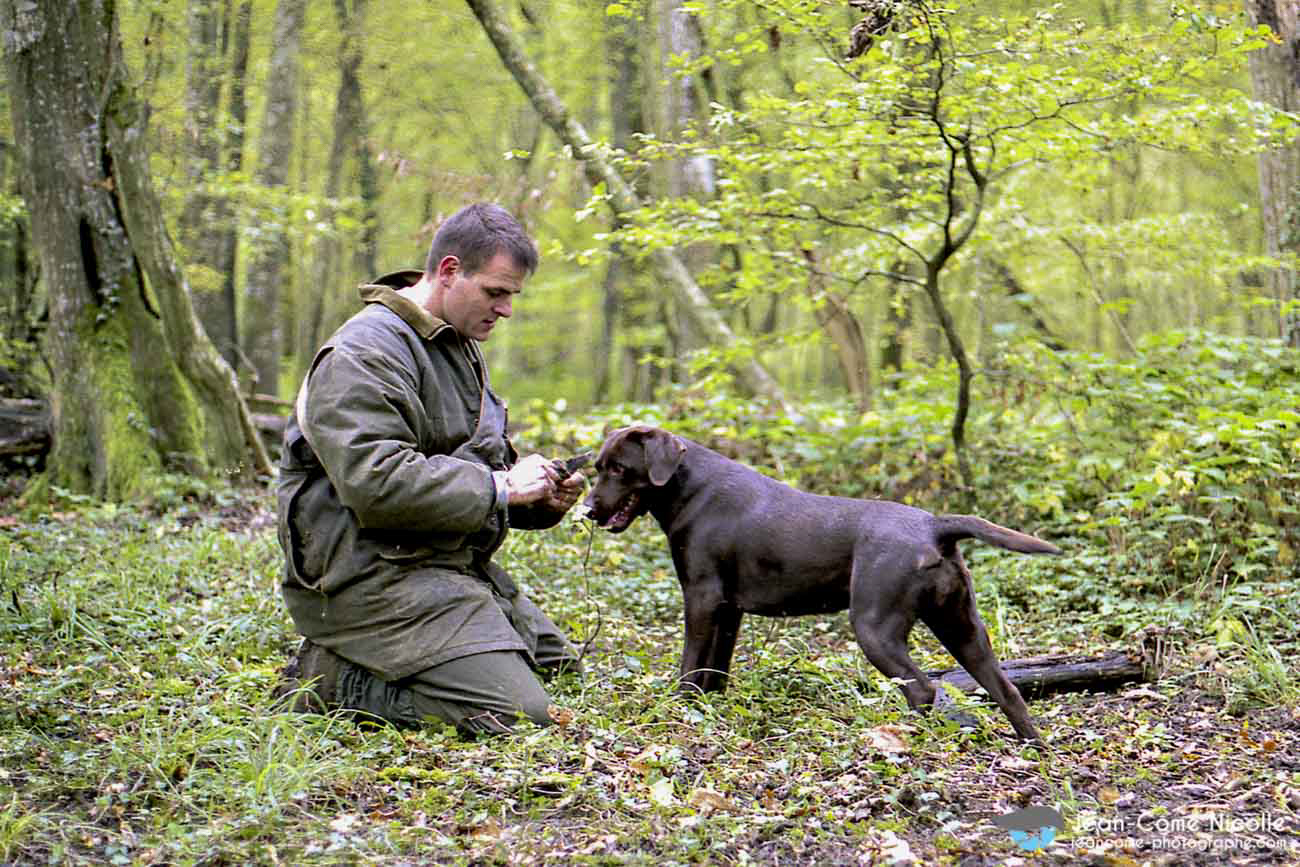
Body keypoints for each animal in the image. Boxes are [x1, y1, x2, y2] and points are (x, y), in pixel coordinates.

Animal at [585, 423, 1060, 743]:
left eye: (619, 469)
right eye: (597, 467)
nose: (588, 509)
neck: (689, 488)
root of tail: (935, 526)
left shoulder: (701, 597)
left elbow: (690, 667)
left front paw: (678, 711)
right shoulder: (728, 609)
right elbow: (716, 670)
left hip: (875, 627)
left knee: (923, 688)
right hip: (962, 625)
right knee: (1006, 689)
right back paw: (1033, 750)